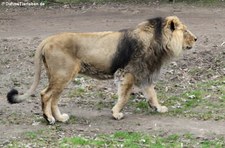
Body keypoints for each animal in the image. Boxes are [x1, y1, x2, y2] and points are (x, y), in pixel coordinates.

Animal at [6, 15, 197, 123]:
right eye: (185, 31)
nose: (196, 38)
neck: (157, 41)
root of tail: (48, 39)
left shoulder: (143, 74)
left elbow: (152, 94)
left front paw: (158, 108)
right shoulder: (128, 73)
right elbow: (124, 96)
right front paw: (116, 113)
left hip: (62, 77)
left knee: (53, 99)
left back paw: (60, 118)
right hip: (62, 75)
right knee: (45, 95)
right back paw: (49, 119)